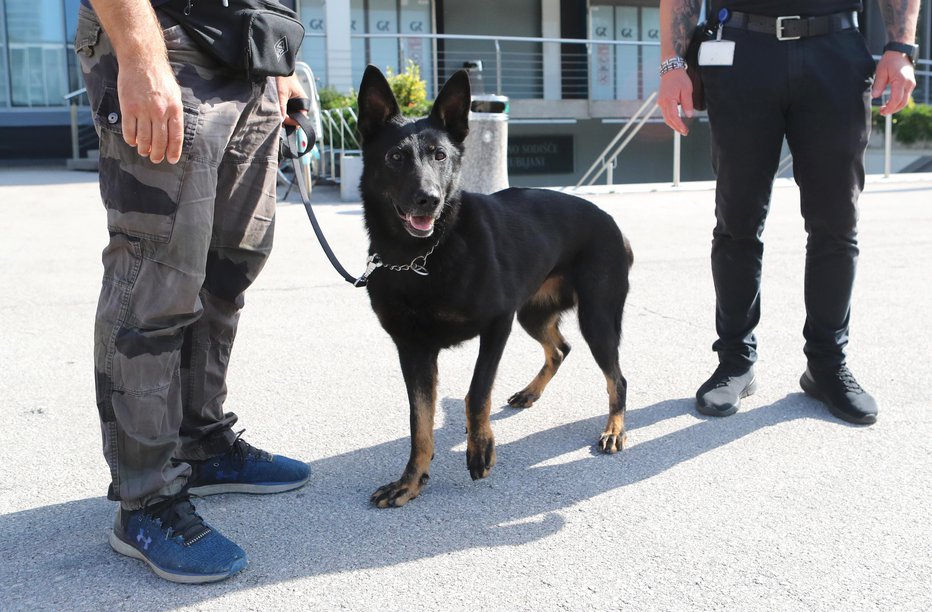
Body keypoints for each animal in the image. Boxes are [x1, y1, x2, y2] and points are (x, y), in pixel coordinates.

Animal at [356, 65, 632, 506]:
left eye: (440, 156)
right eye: (395, 157)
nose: (428, 199)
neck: (423, 256)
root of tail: (610, 220)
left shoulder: (497, 325)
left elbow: (476, 392)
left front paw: (480, 448)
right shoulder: (413, 350)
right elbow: (420, 422)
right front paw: (410, 481)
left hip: (596, 320)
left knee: (616, 378)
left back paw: (614, 429)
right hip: (532, 314)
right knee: (561, 348)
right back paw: (531, 393)